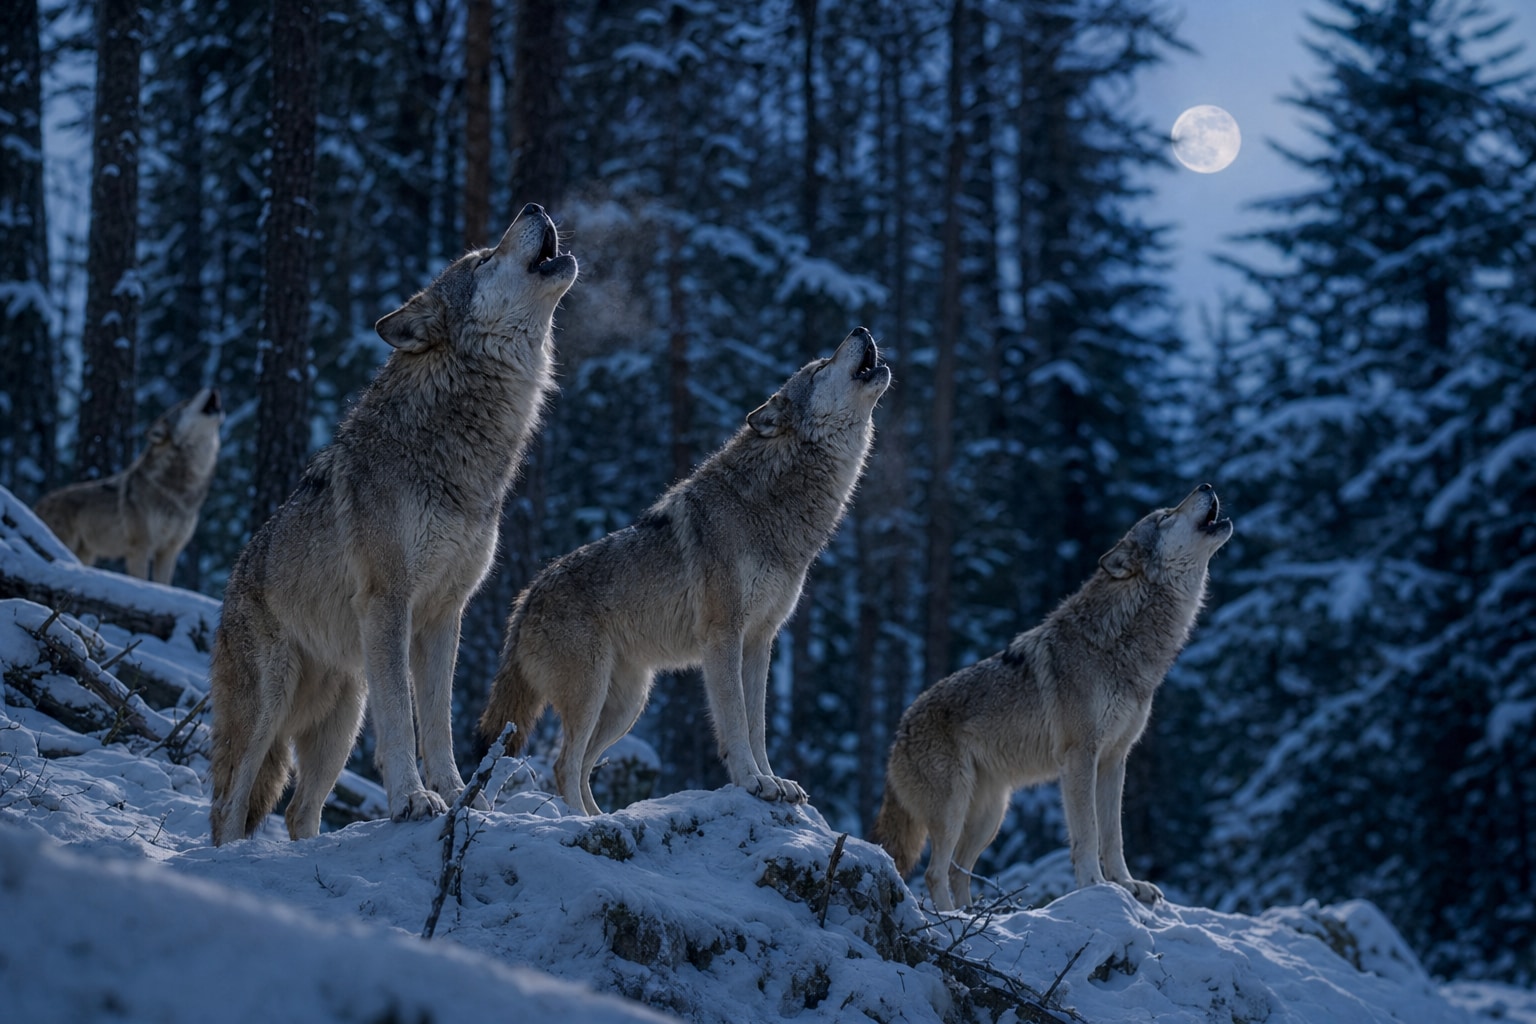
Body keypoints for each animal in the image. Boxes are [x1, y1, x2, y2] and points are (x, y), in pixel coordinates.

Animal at [34, 388, 224, 584]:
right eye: (186, 404)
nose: (213, 388)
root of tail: (40, 503)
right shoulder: (140, 546)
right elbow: (141, 579)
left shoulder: (169, 550)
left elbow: (164, 584)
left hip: (86, 554)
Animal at [208, 204, 577, 845]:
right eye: (482, 260)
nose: (534, 207)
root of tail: (230, 588)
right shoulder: (390, 604)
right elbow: (404, 725)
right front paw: (412, 800)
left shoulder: (445, 614)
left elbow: (437, 722)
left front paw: (459, 796)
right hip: (269, 706)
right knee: (230, 807)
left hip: (344, 719)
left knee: (299, 810)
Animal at [479, 327, 891, 815]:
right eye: (820, 367)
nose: (861, 330)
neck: (771, 506)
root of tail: (525, 600)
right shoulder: (723, 635)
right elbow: (735, 722)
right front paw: (753, 782)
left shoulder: (760, 641)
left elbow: (758, 724)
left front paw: (774, 780)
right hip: (591, 694)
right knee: (565, 765)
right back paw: (581, 823)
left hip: (627, 706)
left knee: (581, 768)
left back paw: (602, 820)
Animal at [872, 484, 1233, 910]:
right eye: (1164, 516)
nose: (1206, 486)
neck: (1119, 642)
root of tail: (900, 730)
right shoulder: (1080, 756)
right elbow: (1088, 833)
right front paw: (1096, 886)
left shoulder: (1114, 759)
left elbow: (1114, 836)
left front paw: (1128, 886)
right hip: (953, 809)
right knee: (934, 872)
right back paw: (951, 919)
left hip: (990, 817)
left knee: (960, 873)